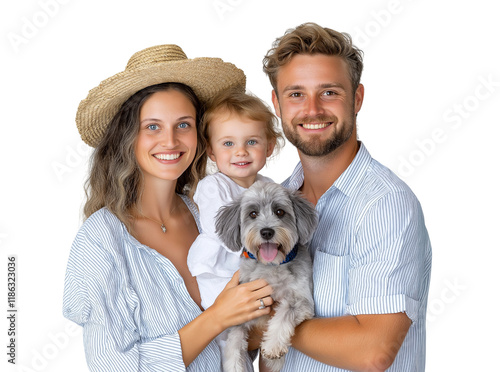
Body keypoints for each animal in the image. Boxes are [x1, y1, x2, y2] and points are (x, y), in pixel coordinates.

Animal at [214, 181, 316, 372]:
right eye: (253, 213)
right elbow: (234, 341)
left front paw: (273, 346)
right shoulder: (241, 313)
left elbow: (284, 314)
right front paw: (234, 365)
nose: (267, 232)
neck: (272, 266)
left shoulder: (302, 300)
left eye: (280, 212)